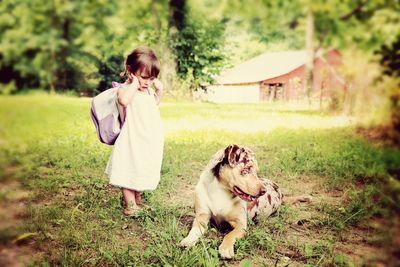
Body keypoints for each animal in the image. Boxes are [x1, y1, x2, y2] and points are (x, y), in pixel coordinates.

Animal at [180, 144, 310, 260]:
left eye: (257, 172)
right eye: (246, 169)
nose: (263, 191)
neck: (221, 191)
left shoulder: (240, 224)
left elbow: (230, 235)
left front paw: (226, 248)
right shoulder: (202, 216)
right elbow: (194, 230)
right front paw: (188, 240)